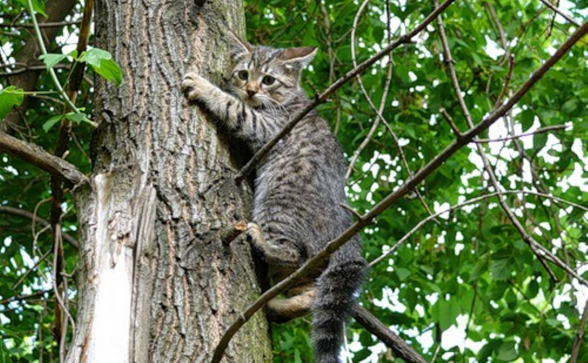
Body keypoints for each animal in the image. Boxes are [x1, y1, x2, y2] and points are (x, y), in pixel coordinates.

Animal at [183, 32, 368, 363]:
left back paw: (263, 243)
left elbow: (235, 108)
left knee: (292, 254)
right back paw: (278, 306)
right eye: (244, 74)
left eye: (268, 80)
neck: (289, 100)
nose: (251, 90)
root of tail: (347, 234)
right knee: (310, 292)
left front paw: (208, 89)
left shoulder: (271, 129)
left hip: (278, 208)